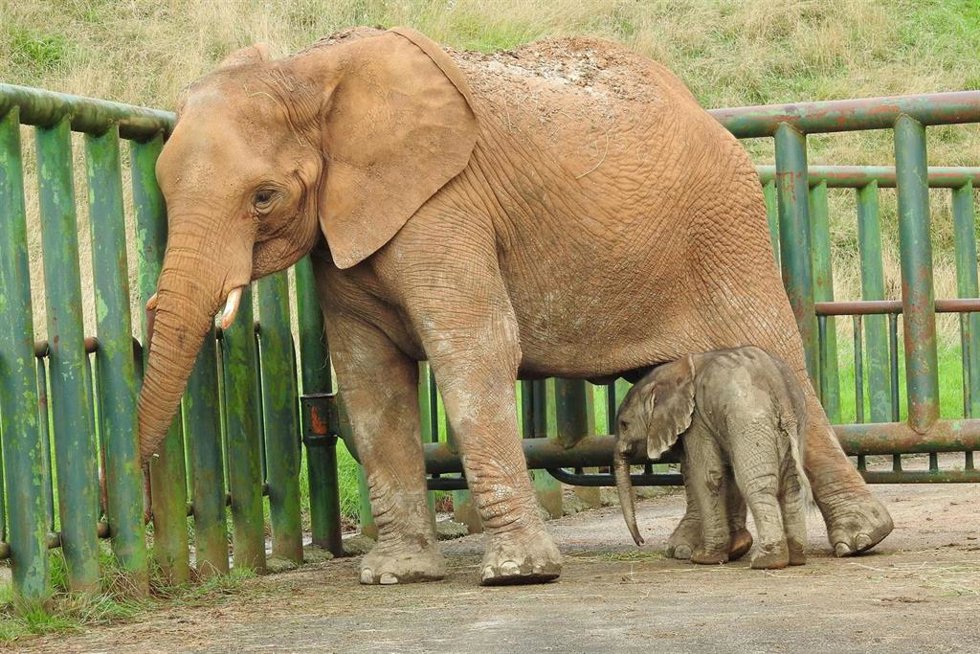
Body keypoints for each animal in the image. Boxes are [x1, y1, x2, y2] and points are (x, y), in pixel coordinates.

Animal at [613, 347, 809, 570]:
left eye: (624, 425)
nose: (641, 541)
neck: (676, 371)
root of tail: (778, 386)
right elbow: (728, 472)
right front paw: (736, 547)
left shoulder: (697, 419)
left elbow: (708, 476)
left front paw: (704, 558)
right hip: (794, 421)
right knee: (791, 484)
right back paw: (796, 558)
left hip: (749, 419)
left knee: (756, 482)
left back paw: (767, 560)